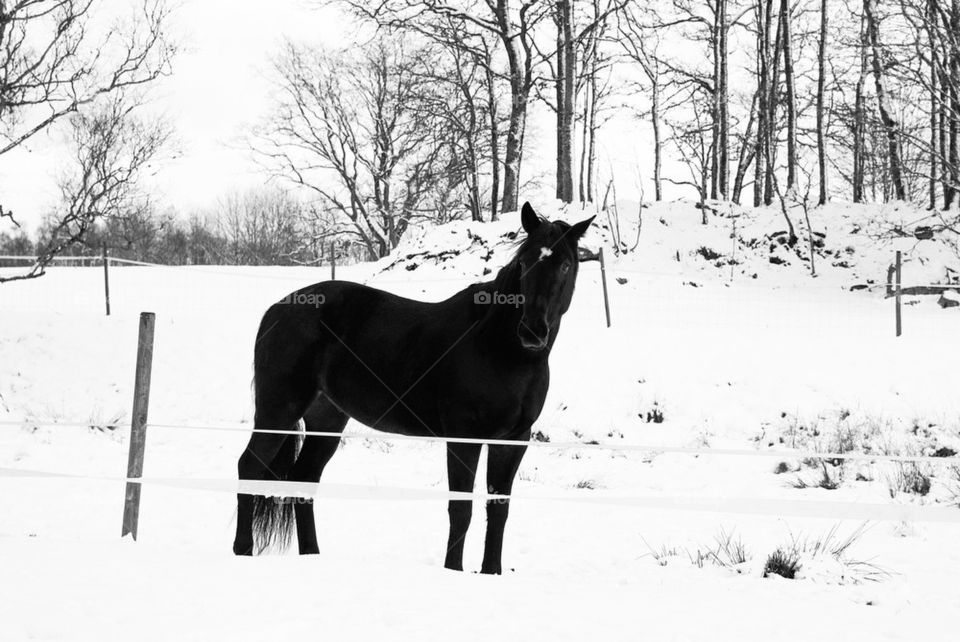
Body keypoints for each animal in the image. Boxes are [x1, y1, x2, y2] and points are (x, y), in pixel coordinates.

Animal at [233, 202, 595, 574]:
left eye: (565, 264)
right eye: (524, 262)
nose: (532, 331)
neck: (498, 349)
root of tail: (277, 309)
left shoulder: (512, 441)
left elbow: (498, 510)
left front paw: (491, 572)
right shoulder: (463, 438)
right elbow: (461, 508)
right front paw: (453, 571)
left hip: (327, 418)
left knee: (303, 480)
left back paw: (312, 555)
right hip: (279, 410)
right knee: (249, 467)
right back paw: (243, 551)